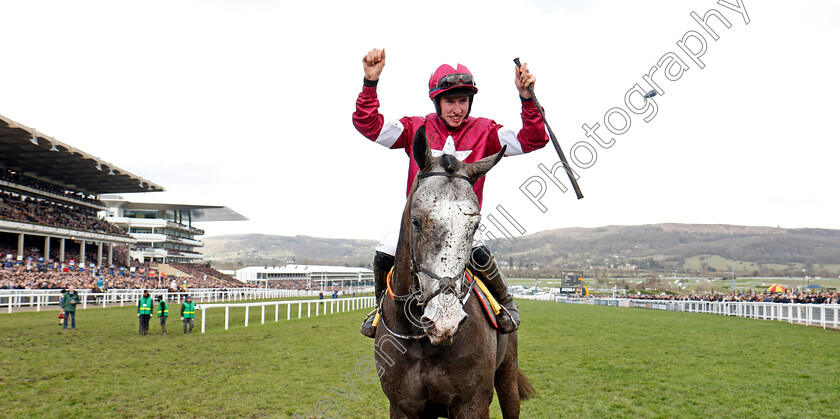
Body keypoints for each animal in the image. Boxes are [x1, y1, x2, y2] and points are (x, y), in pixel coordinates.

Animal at [376, 128, 536, 419]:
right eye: (416, 221)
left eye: (475, 225)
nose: (445, 321)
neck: (422, 341)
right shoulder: (402, 406)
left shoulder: (471, 403)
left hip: (507, 373)